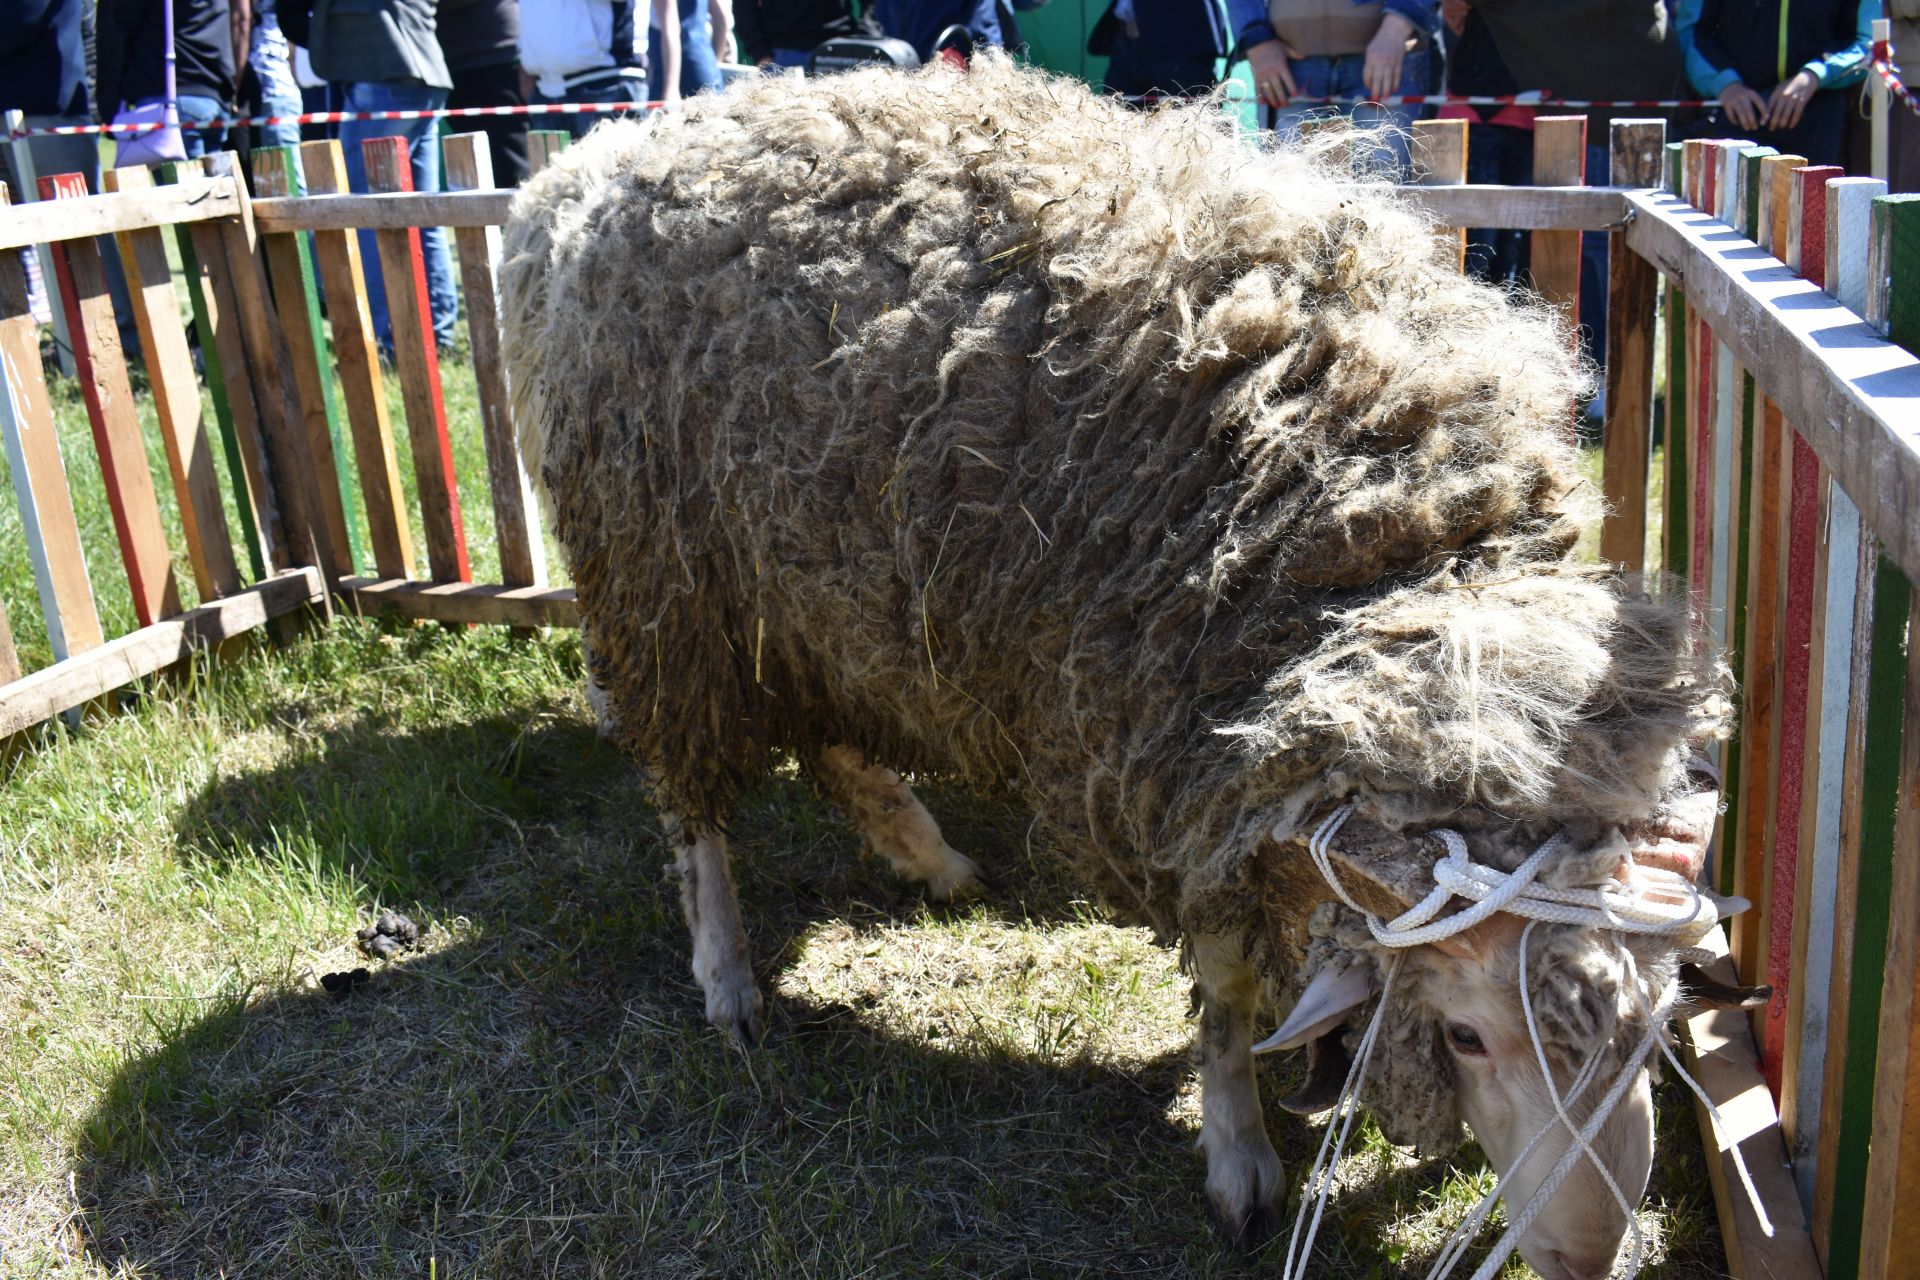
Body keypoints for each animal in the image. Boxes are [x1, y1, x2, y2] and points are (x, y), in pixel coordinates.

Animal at [503, 59, 1751, 1280]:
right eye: (1464, 1033)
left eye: (1656, 1027)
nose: (1590, 1253)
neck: (1389, 562)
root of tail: (600, 156)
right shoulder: (1166, 750)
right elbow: (1230, 985)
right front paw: (1239, 1151)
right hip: (666, 577)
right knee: (693, 798)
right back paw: (728, 976)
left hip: (809, 574)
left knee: (834, 740)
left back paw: (931, 856)